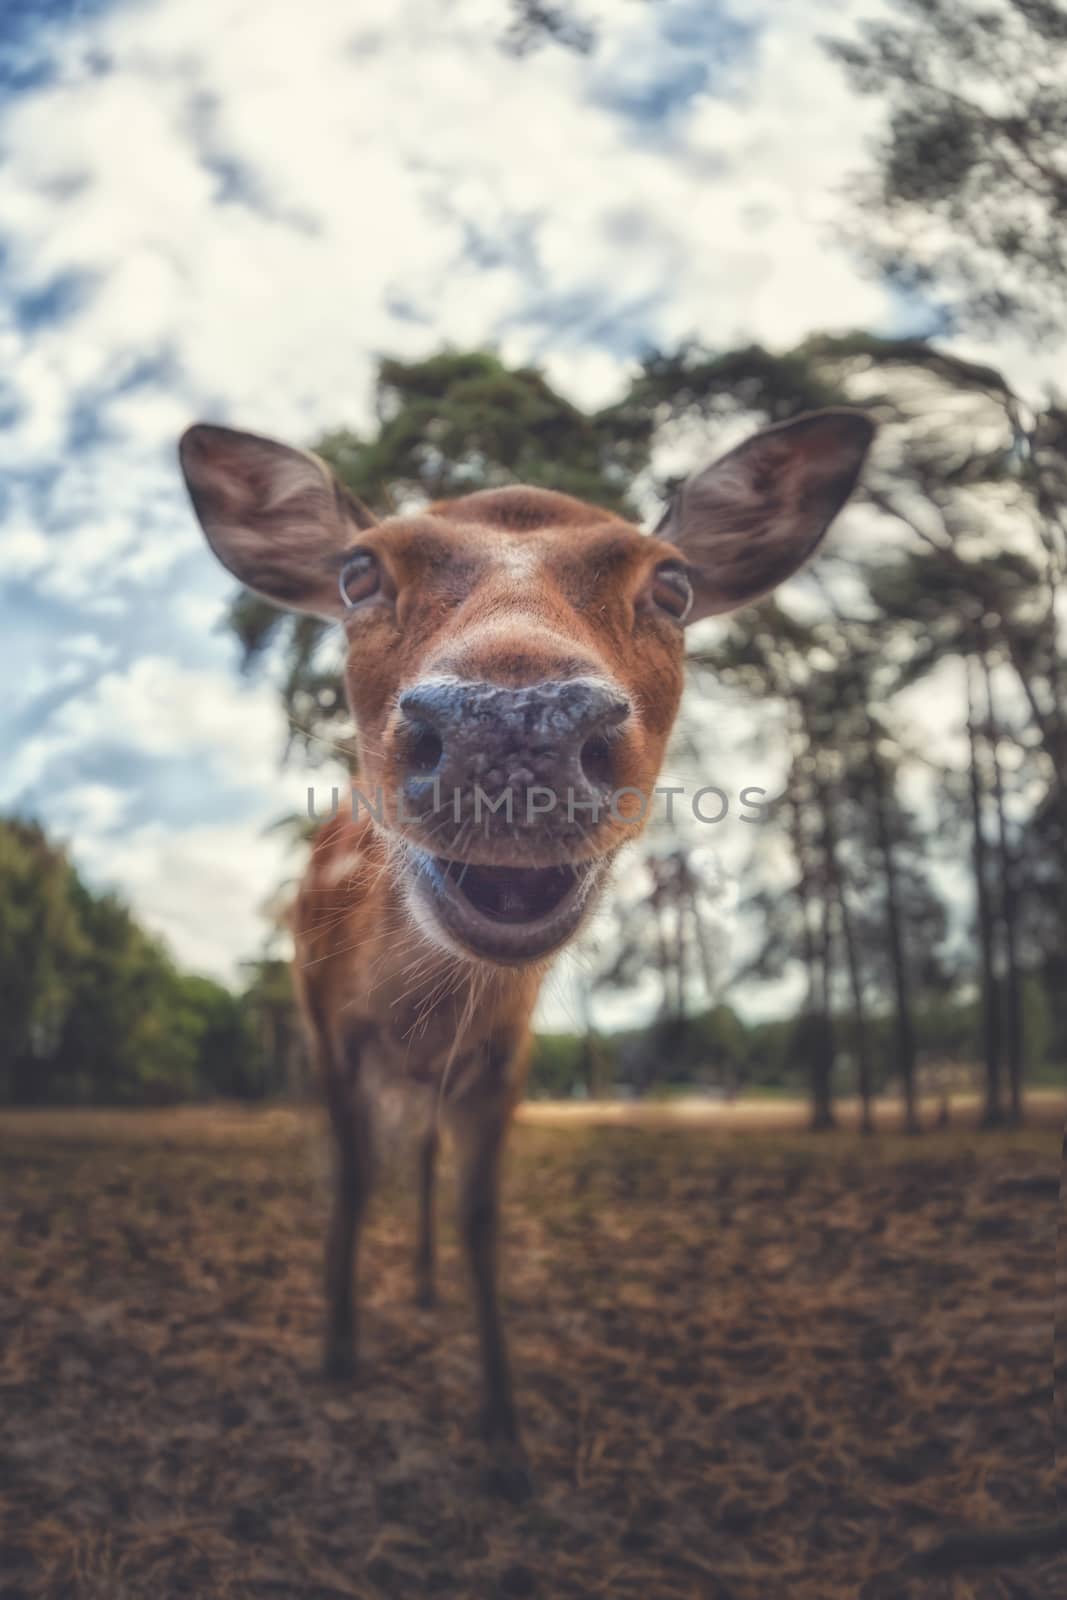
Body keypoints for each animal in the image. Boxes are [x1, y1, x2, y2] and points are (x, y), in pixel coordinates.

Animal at [179, 406, 870, 1491]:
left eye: (671, 583)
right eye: (358, 572)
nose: (511, 726)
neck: (416, 1003)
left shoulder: (502, 1054)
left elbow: (480, 1218)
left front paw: (503, 1435)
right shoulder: (328, 1031)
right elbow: (351, 1177)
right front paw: (337, 1353)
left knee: (425, 1159)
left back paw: (424, 1285)